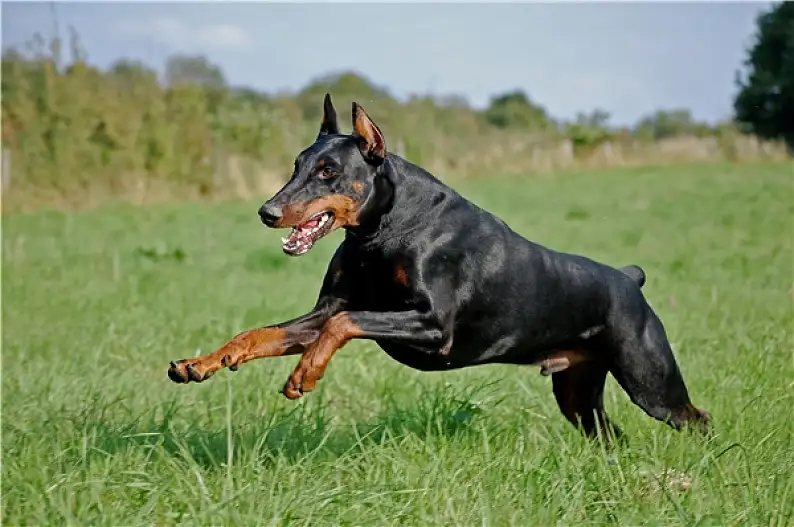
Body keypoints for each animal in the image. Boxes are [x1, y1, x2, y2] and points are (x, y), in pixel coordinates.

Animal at [164, 95, 708, 442]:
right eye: (296, 166)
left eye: (328, 171)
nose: (267, 212)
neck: (382, 232)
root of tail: (628, 278)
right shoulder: (325, 310)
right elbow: (264, 333)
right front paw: (199, 364)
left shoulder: (432, 326)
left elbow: (343, 325)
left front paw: (304, 375)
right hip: (577, 391)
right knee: (611, 435)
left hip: (649, 379)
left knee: (695, 417)